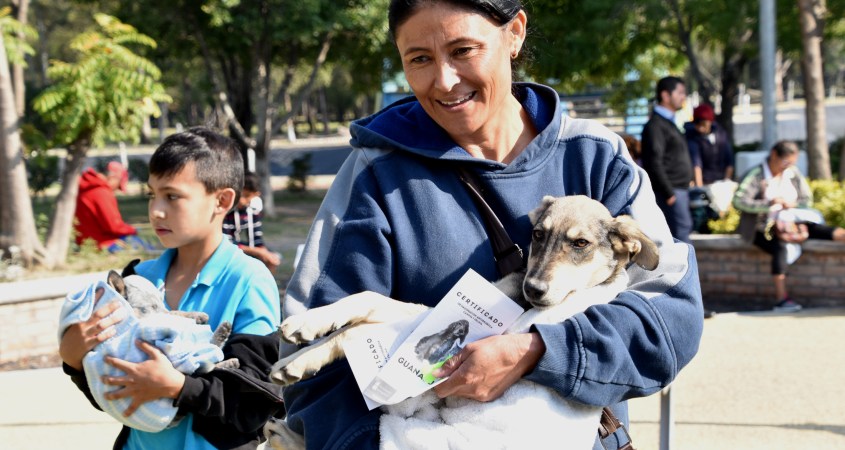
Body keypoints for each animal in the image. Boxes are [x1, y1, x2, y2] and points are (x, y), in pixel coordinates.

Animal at [264, 195, 659, 449]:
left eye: (580, 244)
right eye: (538, 235)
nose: (533, 289)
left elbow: (361, 322)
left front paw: (303, 350)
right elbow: (364, 301)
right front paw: (302, 340)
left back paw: (287, 436)